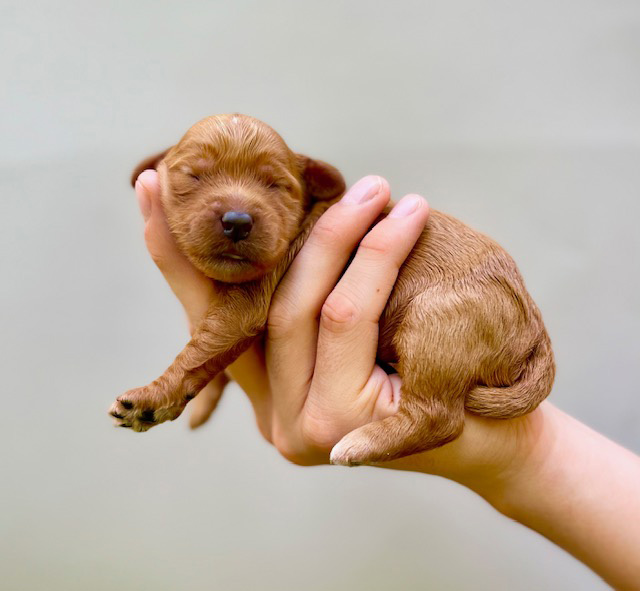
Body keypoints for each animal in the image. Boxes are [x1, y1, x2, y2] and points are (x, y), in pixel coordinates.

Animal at [112, 114, 556, 468]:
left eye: (276, 186)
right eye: (194, 176)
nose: (237, 220)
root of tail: (536, 331)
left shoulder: (244, 305)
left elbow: (197, 350)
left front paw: (150, 398)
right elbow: (206, 358)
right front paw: (197, 404)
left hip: (438, 323)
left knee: (438, 418)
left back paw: (361, 444)